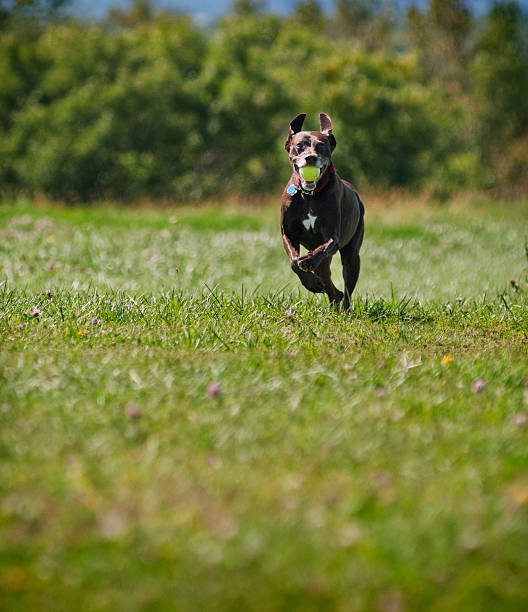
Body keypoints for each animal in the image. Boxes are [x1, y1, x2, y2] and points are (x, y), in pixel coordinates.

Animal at [280, 112, 364, 308]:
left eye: (321, 146)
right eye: (299, 146)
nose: (310, 157)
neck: (309, 196)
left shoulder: (332, 237)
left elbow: (324, 247)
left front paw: (308, 261)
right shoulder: (288, 234)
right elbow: (293, 262)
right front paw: (311, 283)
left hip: (352, 255)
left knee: (346, 291)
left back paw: (342, 307)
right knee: (327, 279)